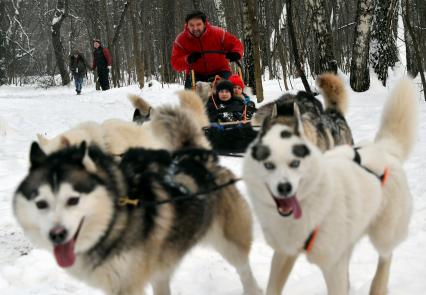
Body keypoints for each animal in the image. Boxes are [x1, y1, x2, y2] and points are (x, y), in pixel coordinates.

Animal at [243, 79, 420, 295]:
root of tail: (384, 148)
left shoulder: (333, 265)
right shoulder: (285, 253)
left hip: (384, 233)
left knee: (386, 257)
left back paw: (378, 286)